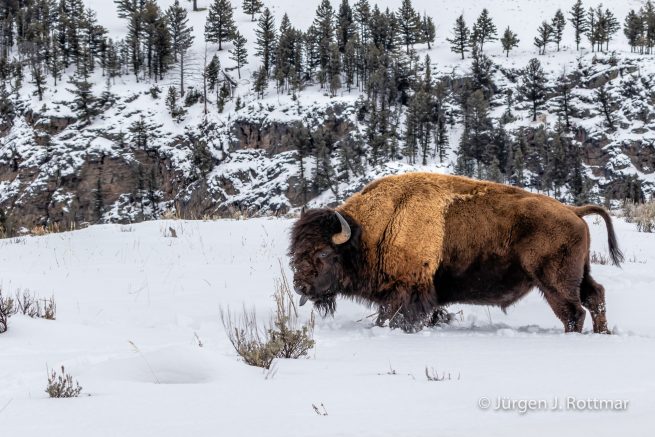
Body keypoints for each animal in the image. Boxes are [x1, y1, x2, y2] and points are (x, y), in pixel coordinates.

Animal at [289, 172, 623, 334]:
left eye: (323, 254)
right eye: (296, 251)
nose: (300, 286)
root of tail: (573, 211)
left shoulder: (407, 291)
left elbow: (397, 317)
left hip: (554, 281)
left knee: (574, 312)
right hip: (580, 273)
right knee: (595, 297)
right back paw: (603, 334)